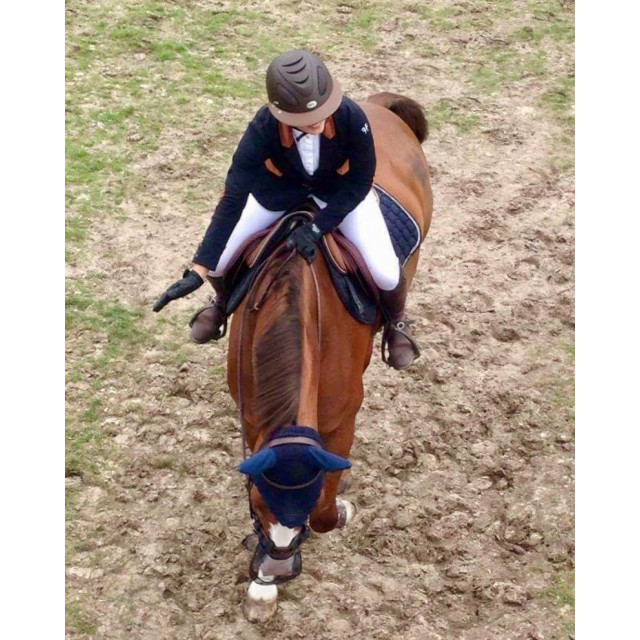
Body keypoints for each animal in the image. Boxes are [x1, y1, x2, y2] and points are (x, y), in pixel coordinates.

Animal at [226, 92, 433, 622]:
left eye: (302, 515)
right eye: (255, 505)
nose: (277, 571)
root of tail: (377, 104)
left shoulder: (341, 423)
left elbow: (324, 507)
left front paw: (338, 513)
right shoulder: (253, 419)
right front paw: (261, 588)